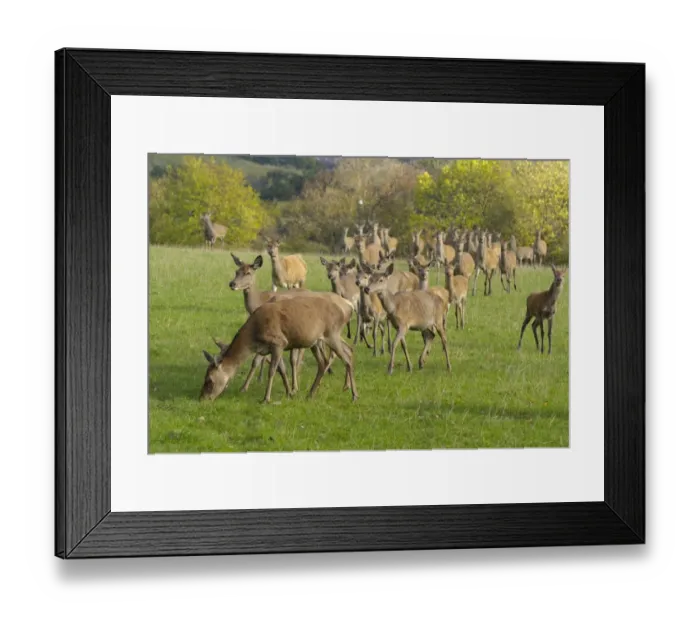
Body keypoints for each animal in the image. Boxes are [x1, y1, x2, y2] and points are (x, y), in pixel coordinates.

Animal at [200, 296, 358, 404]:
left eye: (209, 380)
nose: (203, 398)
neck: (254, 337)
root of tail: (348, 309)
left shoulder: (279, 342)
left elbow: (272, 371)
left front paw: (266, 398)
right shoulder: (273, 348)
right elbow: (281, 369)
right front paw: (290, 393)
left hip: (332, 333)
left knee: (346, 358)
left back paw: (354, 395)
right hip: (316, 342)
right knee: (324, 362)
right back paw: (311, 393)